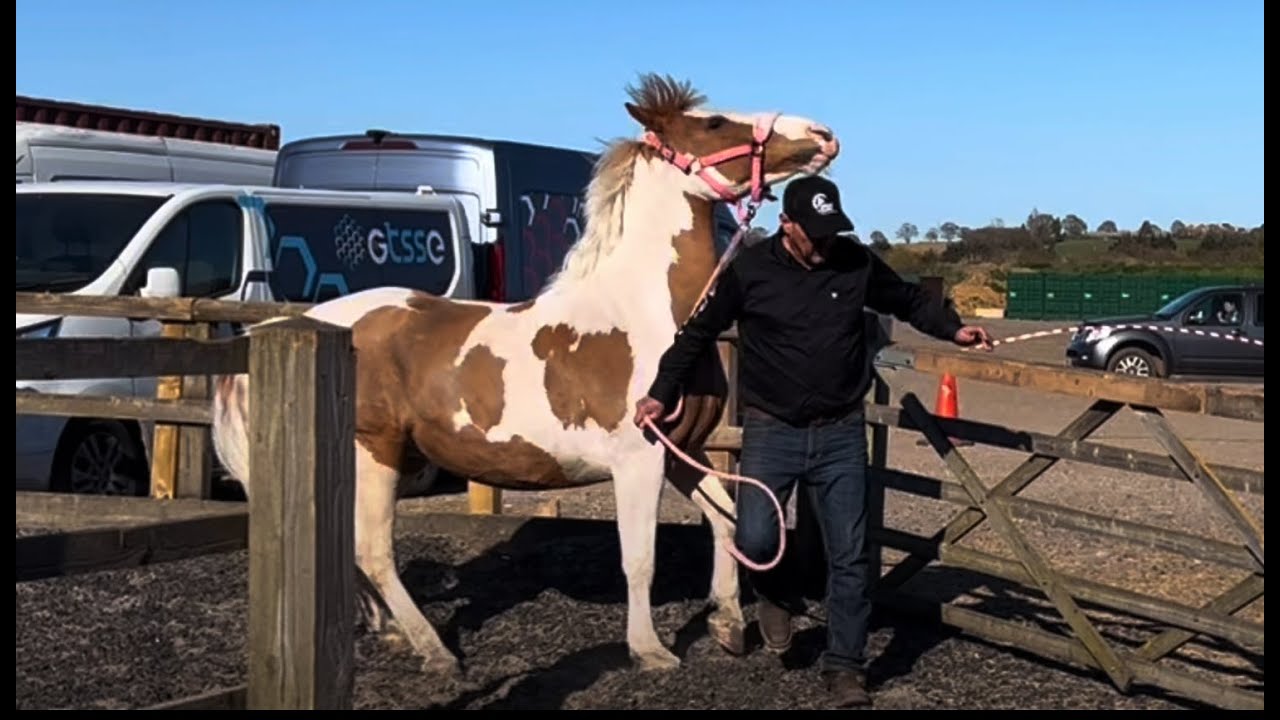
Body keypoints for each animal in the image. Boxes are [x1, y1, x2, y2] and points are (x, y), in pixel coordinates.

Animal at [210, 72, 841, 676]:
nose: (823, 135)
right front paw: (650, 651)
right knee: (372, 549)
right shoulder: (638, 461)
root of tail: (296, 324)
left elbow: (728, 524)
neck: (648, 315)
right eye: (712, 122)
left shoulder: (686, 449)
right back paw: (434, 651)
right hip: (376, 451)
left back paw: (386, 630)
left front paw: (728, 624)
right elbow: (639, 559)